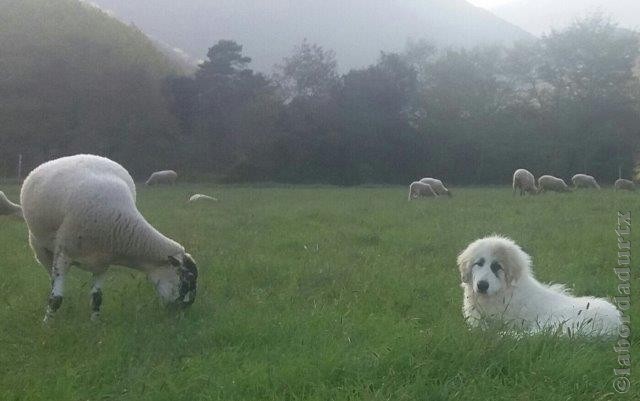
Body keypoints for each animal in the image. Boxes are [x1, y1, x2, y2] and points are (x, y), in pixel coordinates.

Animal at [20, 154, 198, 322]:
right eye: (187, 280)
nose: (181, 313)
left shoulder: (102, 263)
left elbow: (97, 298)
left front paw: (95, 324)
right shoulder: (64, 254)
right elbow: (56, 299)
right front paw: (47, 325)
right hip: (39, 246)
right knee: (50, 276)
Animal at [458, 234, 624, 334]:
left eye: (497, 266)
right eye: (479, 263)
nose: (482, 285)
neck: (505, 291)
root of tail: (616, 321)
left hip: (555, 324)